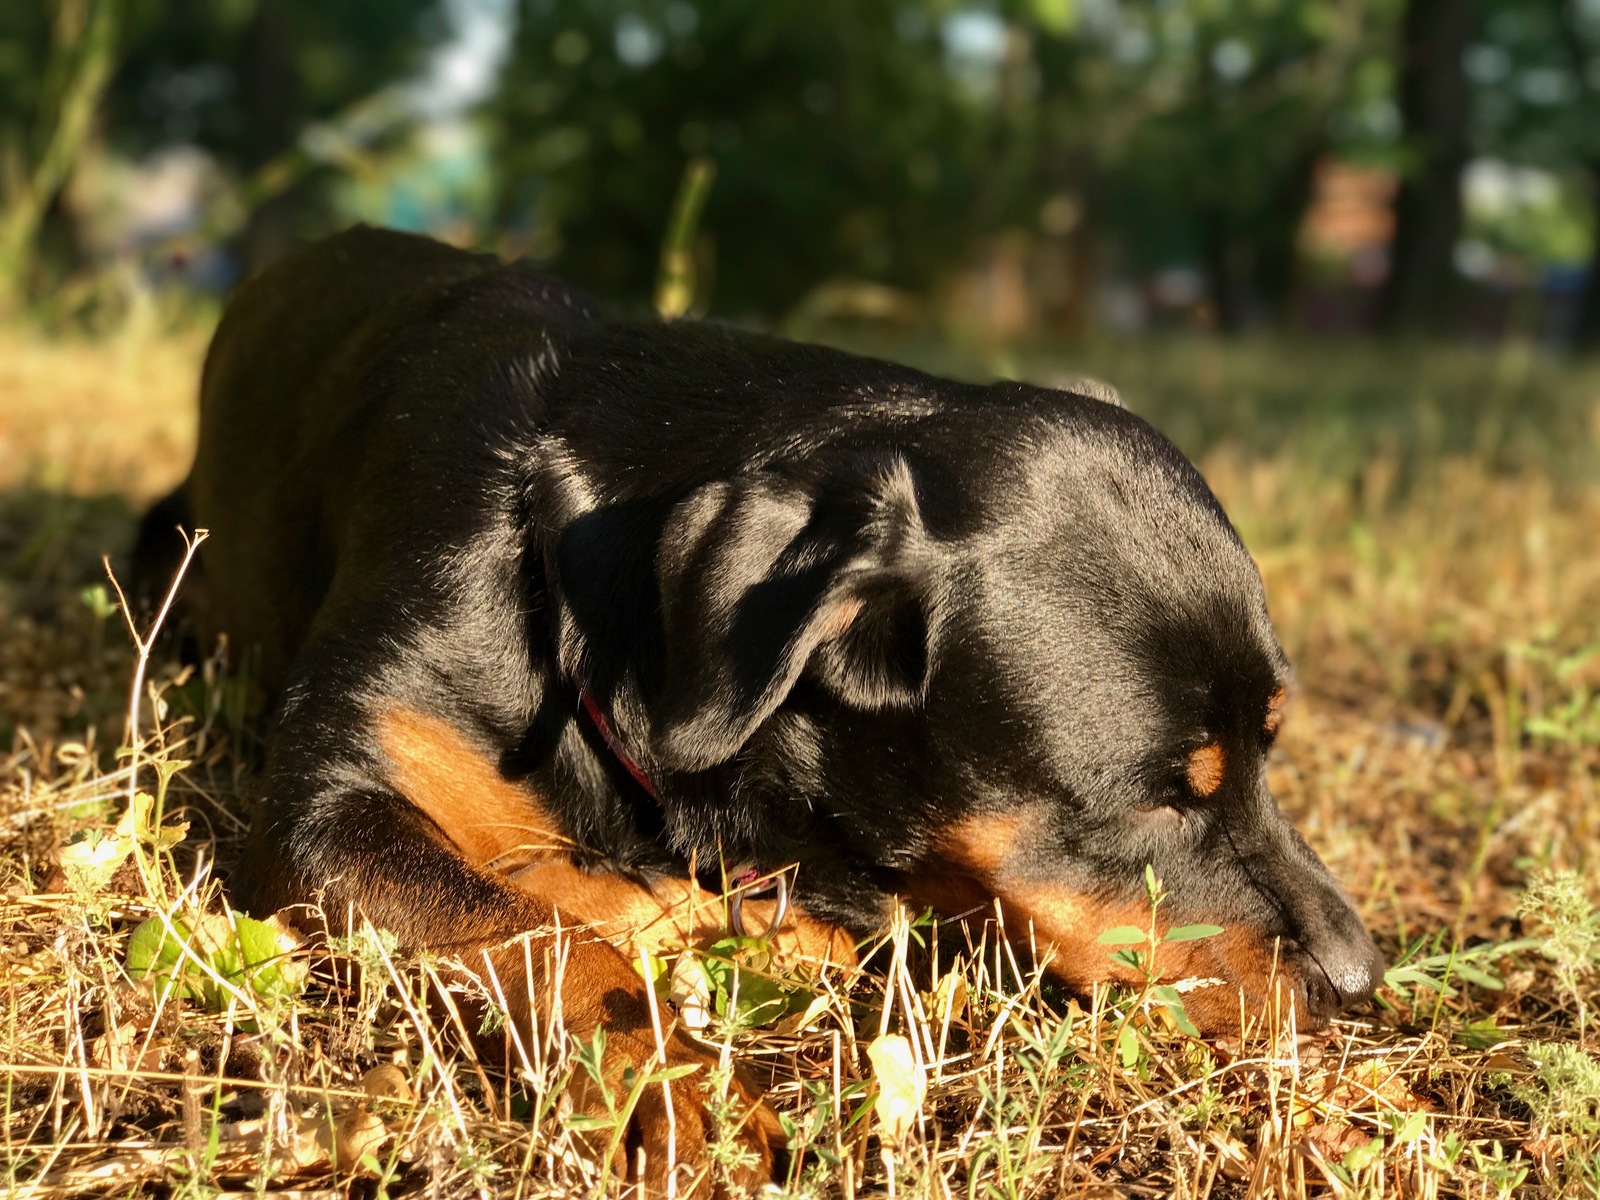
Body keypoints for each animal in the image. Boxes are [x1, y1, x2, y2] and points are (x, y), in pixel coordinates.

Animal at [134, 225, 1388, 1196]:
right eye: (1153, 807)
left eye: (1271, 747)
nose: (1360, 982)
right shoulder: (330, 811)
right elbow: (528, 928)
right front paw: (676, 1080)